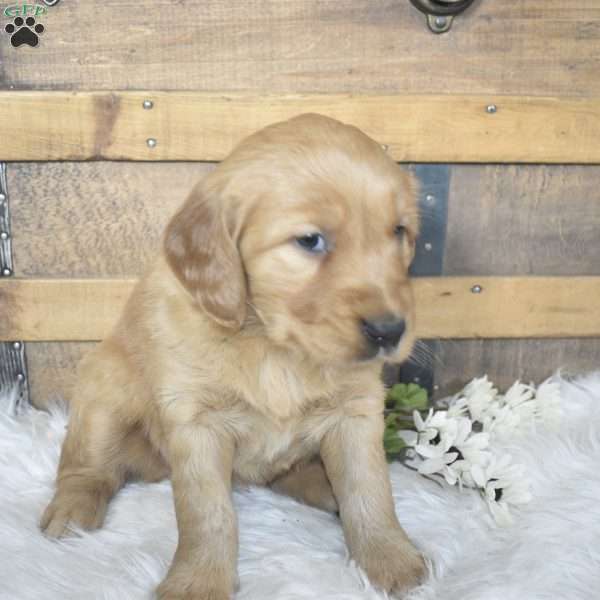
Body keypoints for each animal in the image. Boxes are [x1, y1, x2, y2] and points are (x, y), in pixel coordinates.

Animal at [41, 115, 426, 596]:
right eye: (310, 240)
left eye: (399, 232)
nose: (389, 330)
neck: (273, 345)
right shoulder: (196, 421)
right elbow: (207, 513)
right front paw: (199, 582)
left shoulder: (357, 411)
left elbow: (369, 489)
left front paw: (389, 558)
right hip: (103, 390)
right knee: (89, 465)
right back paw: (71, 511)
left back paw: (321, 485)